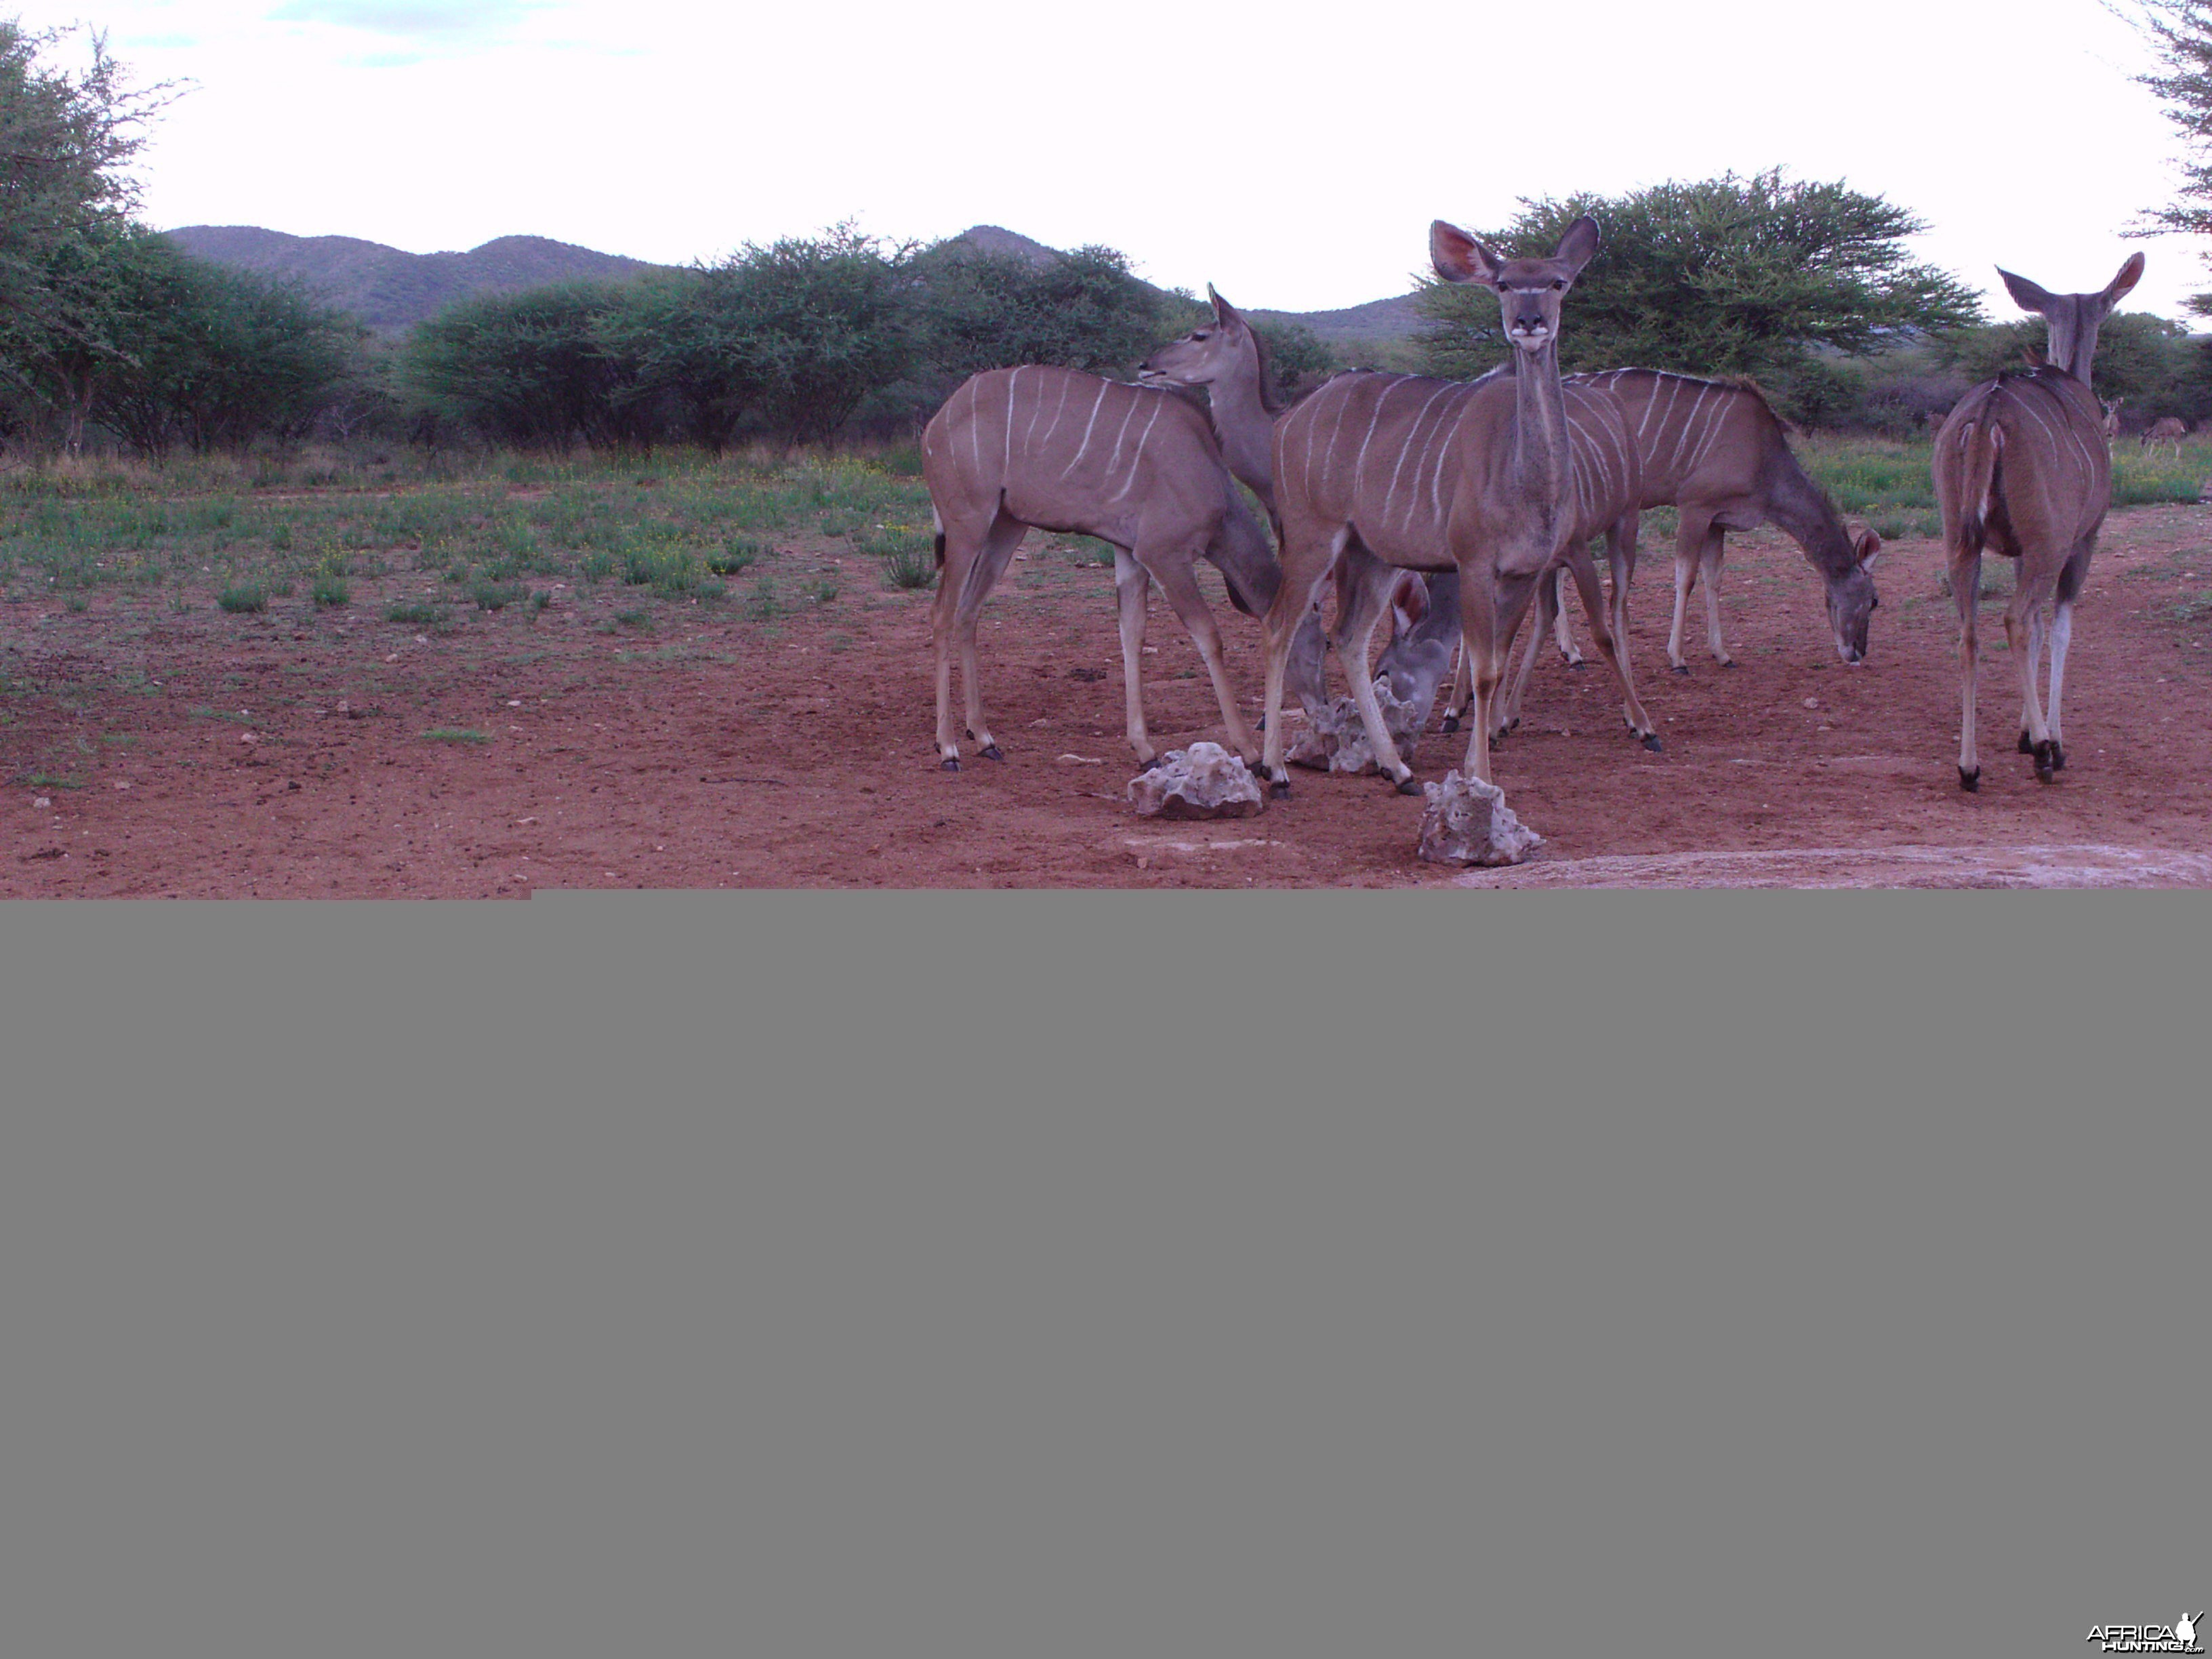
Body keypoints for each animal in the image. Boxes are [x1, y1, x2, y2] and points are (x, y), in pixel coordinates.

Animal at [916, 363, 1283, 774]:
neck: (1209, 473)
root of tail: (937, 423)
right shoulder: (1165, 554)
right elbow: (1209, 636)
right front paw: (1250, 752)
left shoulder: (1130, 553)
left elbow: (1132, 633)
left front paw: (1145, 750)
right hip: (967, 525)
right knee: (942, 614)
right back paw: (948, 748)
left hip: (1005, 528)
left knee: (968, 613)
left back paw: (984, 739)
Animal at [1938, 249, 2141, 787]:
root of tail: (1989, 415)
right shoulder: (2080, 542)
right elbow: (2059, 629)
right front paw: (2044, 738)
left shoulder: (2017, 552)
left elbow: (2034, 629)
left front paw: (2025, 733)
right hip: (2051, 545)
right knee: (2015, 621)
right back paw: (2048, 754)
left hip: (1961, 542)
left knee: (1970, 635)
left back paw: (1970, 766)